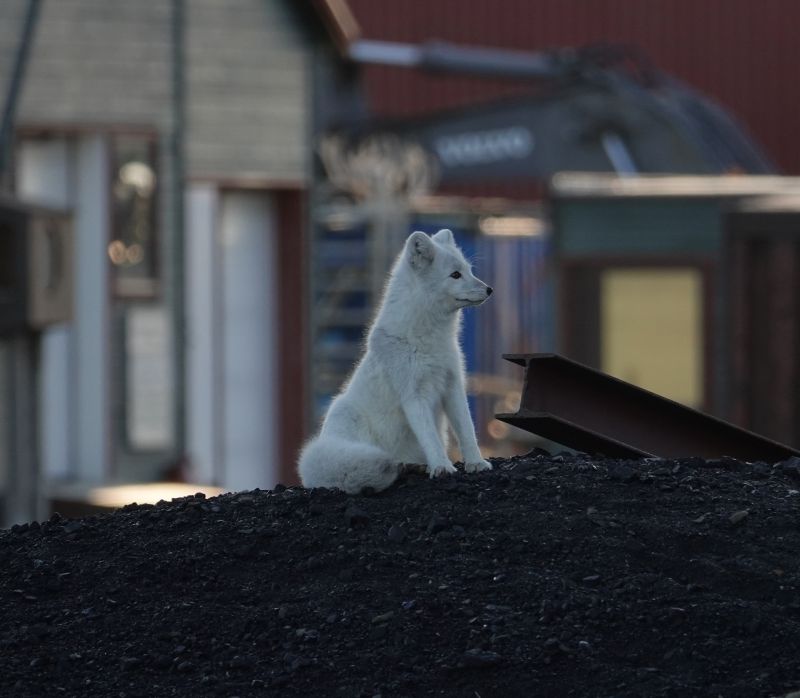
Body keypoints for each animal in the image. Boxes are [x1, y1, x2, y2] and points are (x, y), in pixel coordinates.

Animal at [298, 229, 493, 494]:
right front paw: (442, 467)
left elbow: (467, 430)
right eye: (455, 274)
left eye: (469, 270)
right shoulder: (413, 395)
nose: (489, 290)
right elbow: (431, 438)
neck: (429, 339)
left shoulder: (453, 385)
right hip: (343, 411)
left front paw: (476, 463)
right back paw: (401, 465)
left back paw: (413, 465)